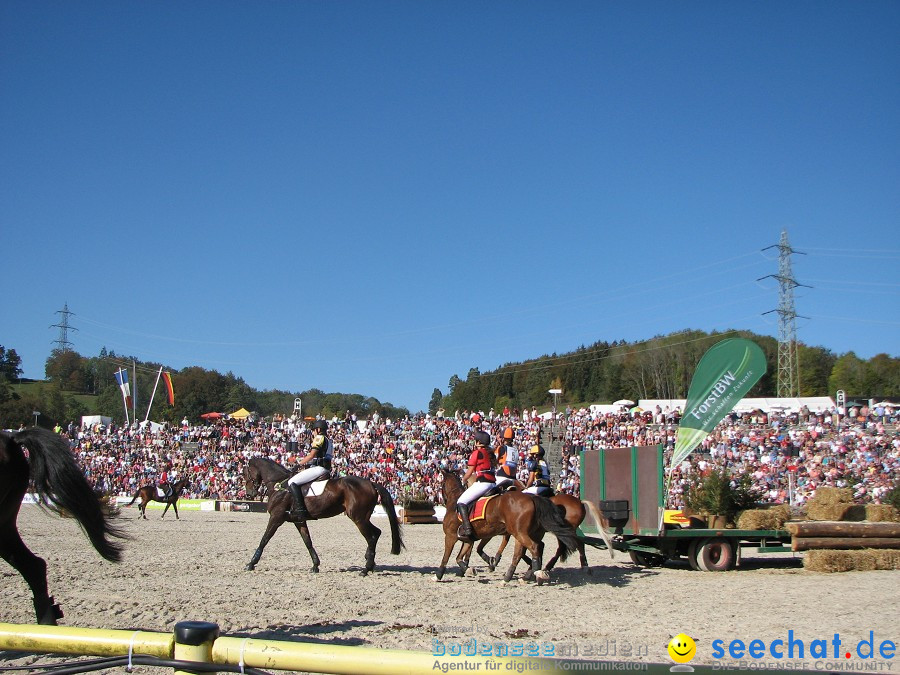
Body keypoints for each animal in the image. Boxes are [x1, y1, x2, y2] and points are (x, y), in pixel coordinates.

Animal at [243, 456, 404, 580]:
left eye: (245, 473)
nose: (250, 494)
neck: (278, 486)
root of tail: (371, 483)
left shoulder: (276, 518)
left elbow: (264, 539)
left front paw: (251, 563)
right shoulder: (299, 520)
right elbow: (307, 541)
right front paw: (315, 565)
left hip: (358, 518)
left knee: (371, 537)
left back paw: (365, 569)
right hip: (363, 517)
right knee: (376, 533)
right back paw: (370, 563)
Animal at [434, 470, 576, 588]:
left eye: (441, 484)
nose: (442, 499)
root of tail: (531, 497)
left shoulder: (451, 536)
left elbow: (446, 557)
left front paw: (438, 576)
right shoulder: (469, 539)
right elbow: (459, 557)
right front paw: (469, 569)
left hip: (519, 533)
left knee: (532, 548)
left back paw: (533, 574)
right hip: (525, 533)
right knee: (529, 550)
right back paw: (521, 575)